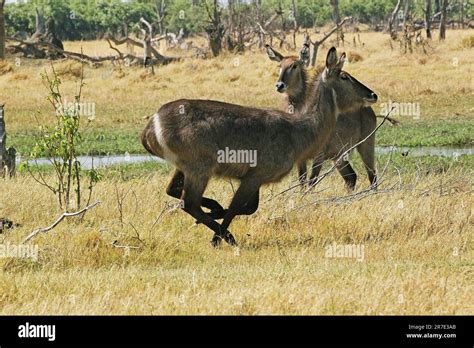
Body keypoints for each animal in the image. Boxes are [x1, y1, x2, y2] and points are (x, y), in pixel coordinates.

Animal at [141, 47, 378, 246]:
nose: (372, 94)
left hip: (184, 168)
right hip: (200, 168)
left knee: (174, 191)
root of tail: (152, 124)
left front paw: (216, 218)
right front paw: (218, 238)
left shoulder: (255, 179)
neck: (297, 130)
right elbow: (237, 207)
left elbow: (249, 208)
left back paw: (213, 211)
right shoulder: (254, 177)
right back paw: (226, 234)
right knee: (188, 202)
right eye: (344, 76)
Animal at [266, 44, 396, 190]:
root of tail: (370, 111)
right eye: (279, 66)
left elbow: (311, 181)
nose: (373, 95)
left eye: (294, 66)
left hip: (366, 145)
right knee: (351, 176)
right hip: (338, 155)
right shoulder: (301, 157)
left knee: (372, 176)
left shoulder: (319, 155)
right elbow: (302, 180)